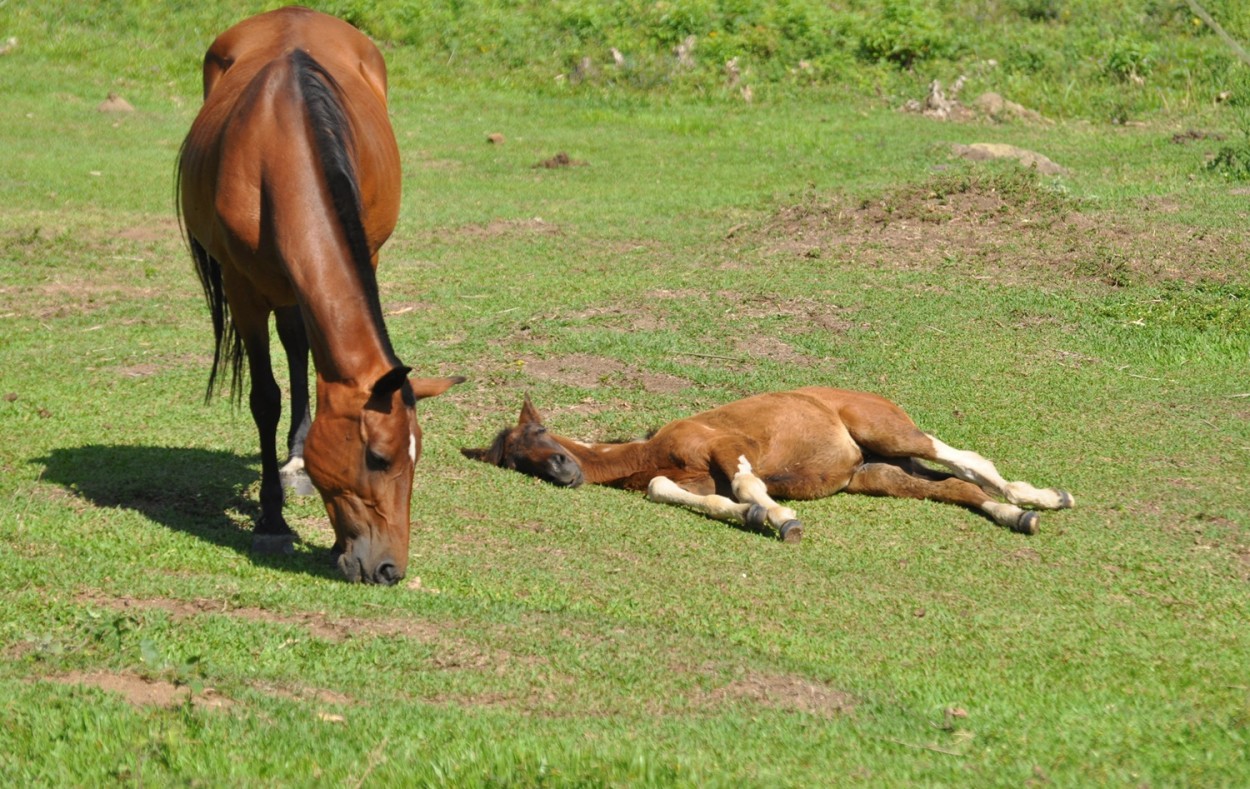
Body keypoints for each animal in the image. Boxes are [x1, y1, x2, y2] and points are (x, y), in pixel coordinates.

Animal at [178, 9, 462, 582]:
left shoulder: (364, 255)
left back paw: (297, 460)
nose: (388, 569)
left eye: (416, 459)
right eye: (379, 457)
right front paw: (271, 521)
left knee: (298, 344)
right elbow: (264, 398)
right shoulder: (243, 291)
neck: (280, 148)